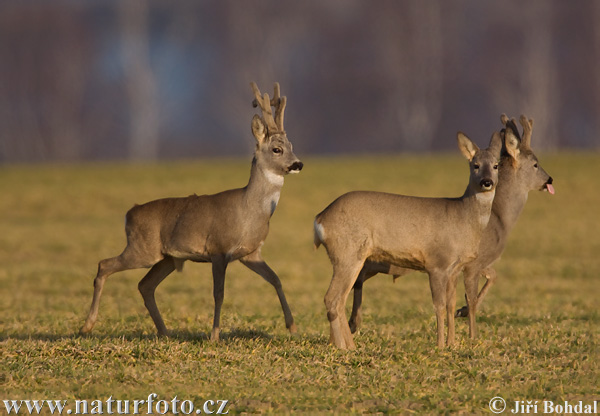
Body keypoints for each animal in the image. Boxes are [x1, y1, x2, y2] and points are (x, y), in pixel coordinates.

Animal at [79, 82, 302, 342]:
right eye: (276, 149)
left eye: (291, 147)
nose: (298, 164)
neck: (249, 211)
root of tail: (129, 214)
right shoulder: (218, 249)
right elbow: (219, 293)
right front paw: (214, 335)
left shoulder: (250, 252)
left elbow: (276, 279)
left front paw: (292, 327)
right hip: (143, 249)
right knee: (104, 265)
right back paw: (87, 326)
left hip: (166, 258)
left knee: (145, 285)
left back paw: (165, 332)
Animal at [314, 132, 502, 350]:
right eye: (475, 165)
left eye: (496, 165)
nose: (487, 182)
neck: (463, 217)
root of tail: (320, 218)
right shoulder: (437, 264)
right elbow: (438, 306)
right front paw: (440, 345)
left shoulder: (454, 269)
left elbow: (451, 305)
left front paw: (452, 344)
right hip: (347, 254)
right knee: (332, 298)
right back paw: (345, 347)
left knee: (339, 299)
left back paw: (349, 346)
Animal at [350, 114, 556, 342]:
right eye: (536, 164)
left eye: (495, 166)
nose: (549, 180)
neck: (499, 218)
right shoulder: (475, 262)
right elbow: (476, 294)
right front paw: (470, 331)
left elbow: (485, 281)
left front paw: (458, 319)